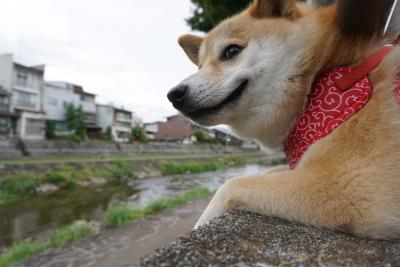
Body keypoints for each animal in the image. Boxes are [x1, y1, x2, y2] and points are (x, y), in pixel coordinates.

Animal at [167, 0, 400, 240]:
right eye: (200, 66)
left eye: (231, 51)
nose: (174, 94)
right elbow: (265, 171)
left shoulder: (349, 189)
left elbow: (230, 184)